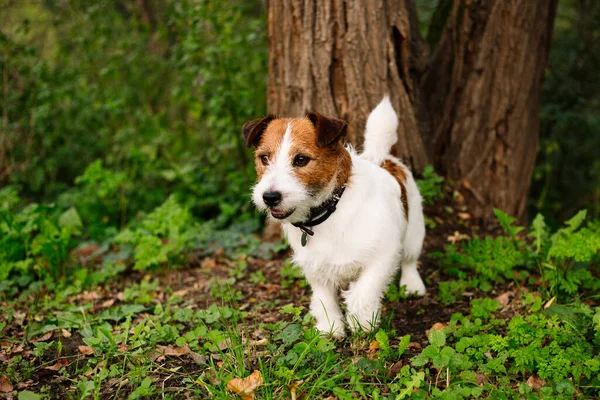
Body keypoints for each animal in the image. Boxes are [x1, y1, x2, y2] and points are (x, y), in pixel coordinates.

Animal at [244, 97, 426, 338]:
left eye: (301, 159)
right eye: (264, 158)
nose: (269, 197)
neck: (330, 211)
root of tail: (384, 159)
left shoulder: (383, 256)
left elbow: (363, 291)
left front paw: (363, 321)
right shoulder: (315, 267)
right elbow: (324, 300)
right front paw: (331, 327)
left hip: (414, 231)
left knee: (410, 260)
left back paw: (412, 284)